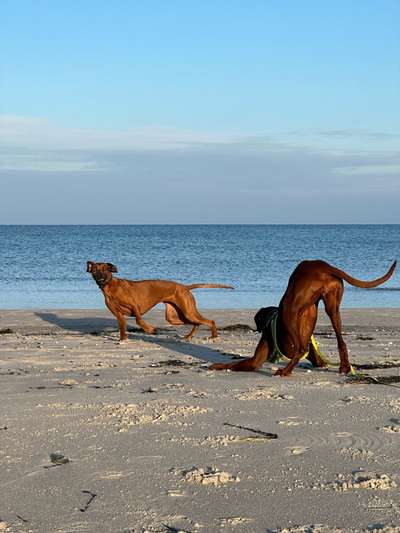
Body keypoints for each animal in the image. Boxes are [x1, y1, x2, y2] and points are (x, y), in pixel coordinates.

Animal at [86, 260, 233, 340]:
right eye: (95, 271)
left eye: (105, 270)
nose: (100, 279)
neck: (111, 287)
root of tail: (184, 287)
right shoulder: (118, 314)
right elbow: (122, 326)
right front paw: (123, 339)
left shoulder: (135, 307)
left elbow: (139, 320)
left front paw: (150, 329)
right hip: (176, 317)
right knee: (196, 323)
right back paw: (188, 336)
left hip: (188, 312)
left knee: (209, 321)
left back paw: (214, 336)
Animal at [211, 260, 396, 376]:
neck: (272, 317)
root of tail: (323, 266)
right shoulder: (317, 359)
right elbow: (319, 362)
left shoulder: (257, 357)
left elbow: (239, 364)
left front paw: (216, 365)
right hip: (331, 306)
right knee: (340, 341)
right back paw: (344, 367)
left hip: (290, 307)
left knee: (300, 348)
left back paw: (285, 371)